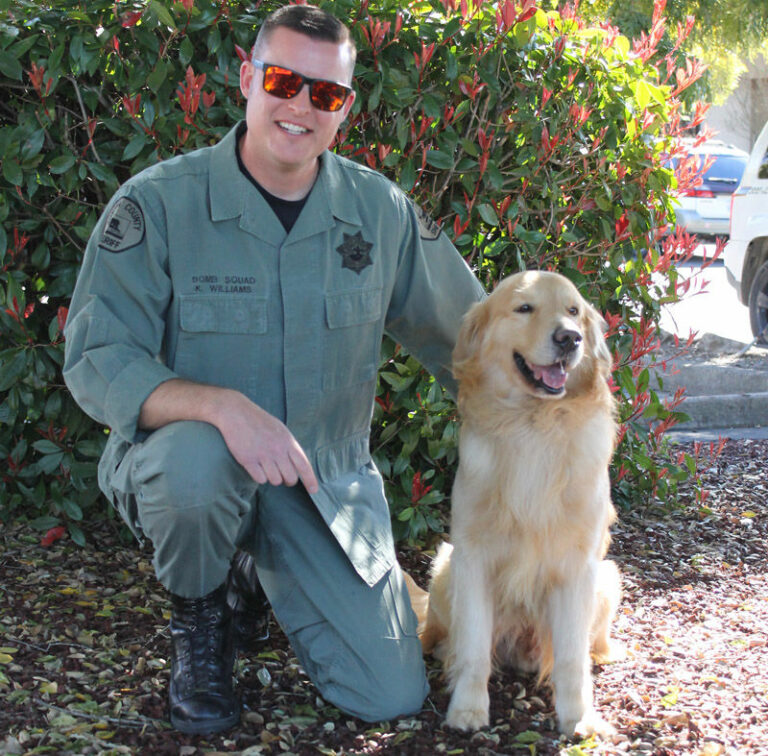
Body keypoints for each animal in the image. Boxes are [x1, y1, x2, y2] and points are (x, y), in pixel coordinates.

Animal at [412, 270, 620, 740]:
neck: (534, 423)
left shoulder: (578, 567)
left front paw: (579, 717)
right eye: (524, 308)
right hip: (445, 568)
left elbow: (571, 657)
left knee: (589, 645)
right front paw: (467, 710)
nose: (569, 338)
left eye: (574, 310)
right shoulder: (472, 557)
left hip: (609, 578)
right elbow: (473, 648)